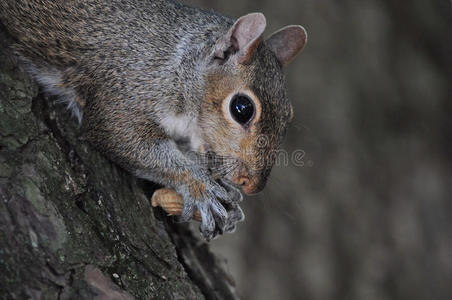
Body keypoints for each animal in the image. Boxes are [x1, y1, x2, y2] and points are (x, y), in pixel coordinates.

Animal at [0, 0, 308, 240]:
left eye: (289, 116)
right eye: (242, 108)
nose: (253, 185)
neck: (178, 65)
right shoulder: (129, 88)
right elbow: (123, 136)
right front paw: (201, 186)